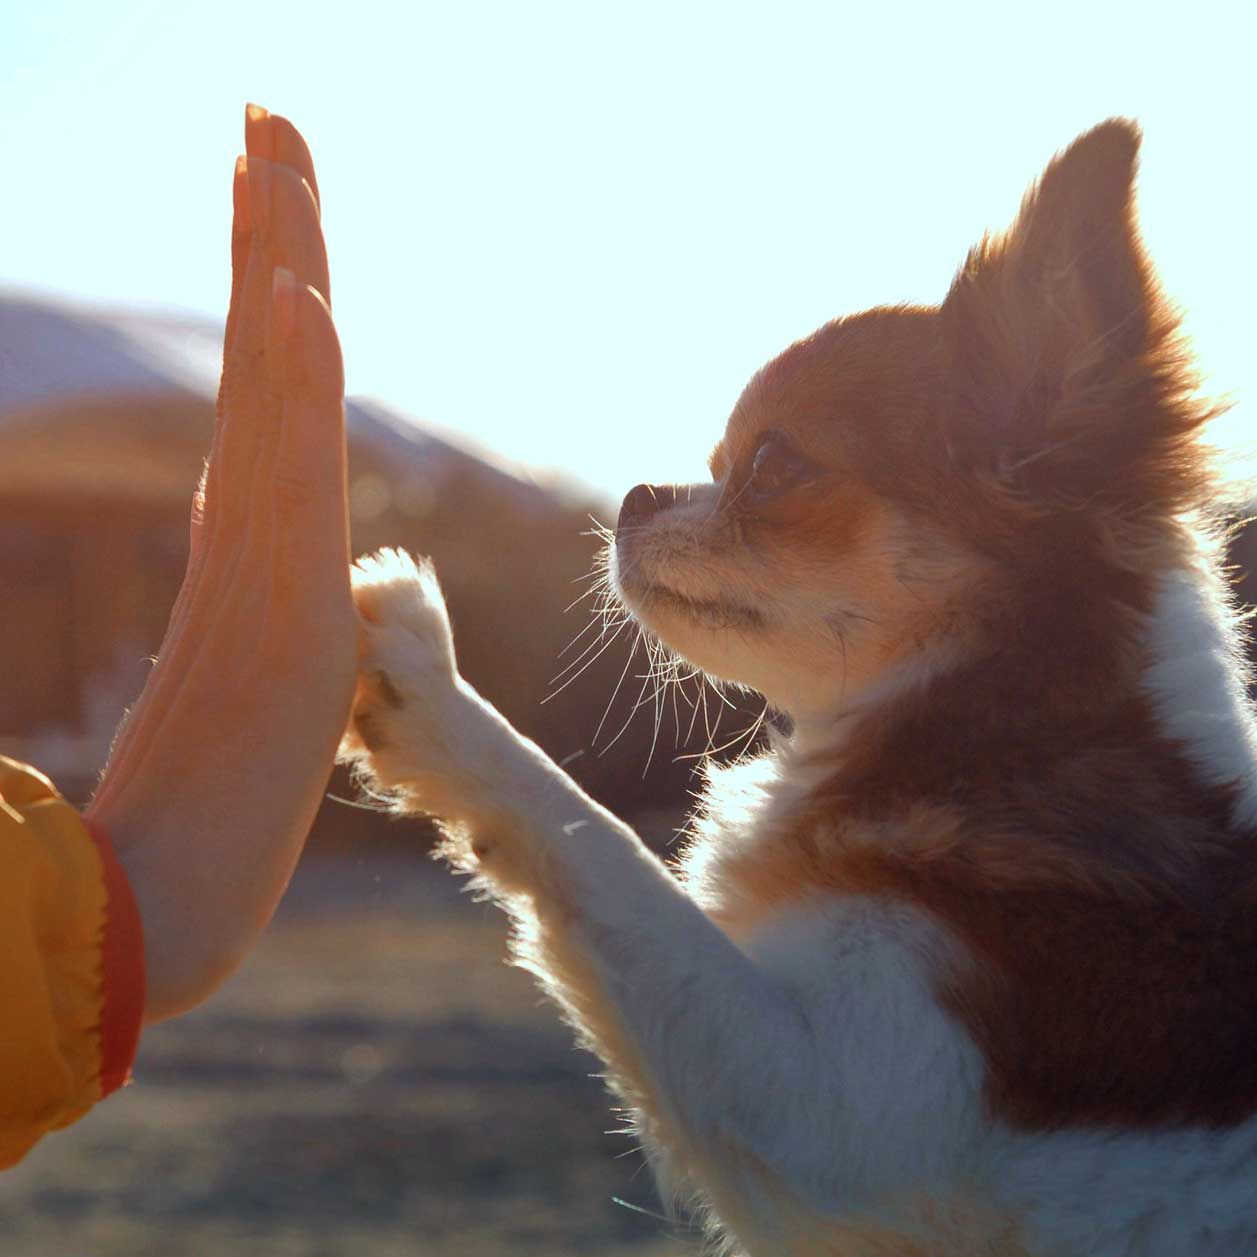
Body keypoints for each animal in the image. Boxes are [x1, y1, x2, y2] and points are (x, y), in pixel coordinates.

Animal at [339, 120, 1257, 1257]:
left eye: (770, 464)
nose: (636, 494)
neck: (991, 734)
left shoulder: (834, 1116)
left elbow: (597, 842)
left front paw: (427, 678)